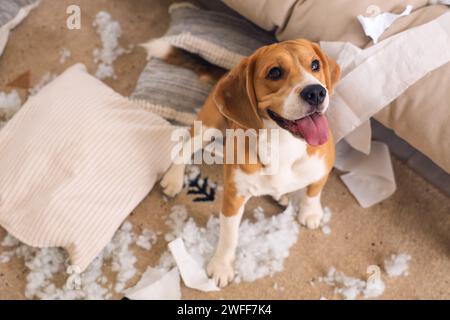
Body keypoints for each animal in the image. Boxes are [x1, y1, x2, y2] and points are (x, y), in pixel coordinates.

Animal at [160, 38, 340, 286]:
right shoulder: (233, 197)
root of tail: (227, 72)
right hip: (208, 128)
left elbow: (315, 189)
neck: (284, 144)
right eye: (275, 72)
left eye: (315, 65)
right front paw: (221, 266)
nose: (316, 92)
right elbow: (229, 236)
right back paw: (174, 178)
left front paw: (310, 212)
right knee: (186, 147)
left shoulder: (324, 165)